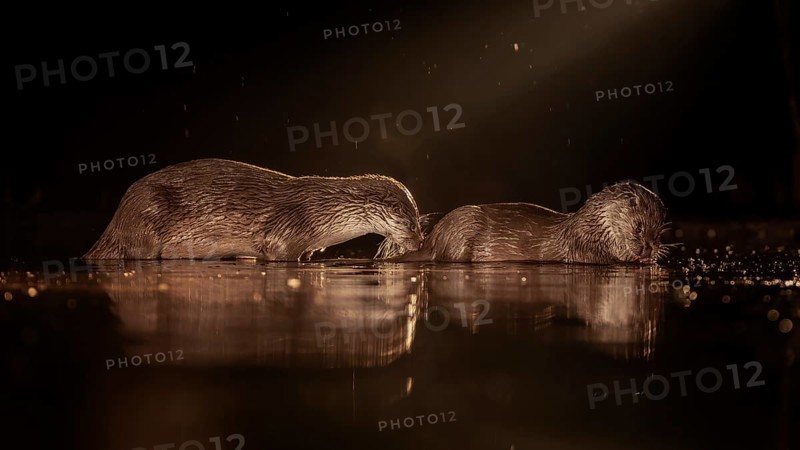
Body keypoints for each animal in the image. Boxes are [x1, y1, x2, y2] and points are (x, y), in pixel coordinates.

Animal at [84, 159, 423, 260]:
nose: (419, 243)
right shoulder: (288, 230)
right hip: (146, 214)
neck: (326, 209)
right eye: (412, 225)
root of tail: (116, 219)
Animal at [377, 182, 668, 264]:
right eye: (639, 227)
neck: (591, 227)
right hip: (464, 228)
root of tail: (435, 237)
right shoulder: (583, 246)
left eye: (659, 232)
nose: (648, 249)